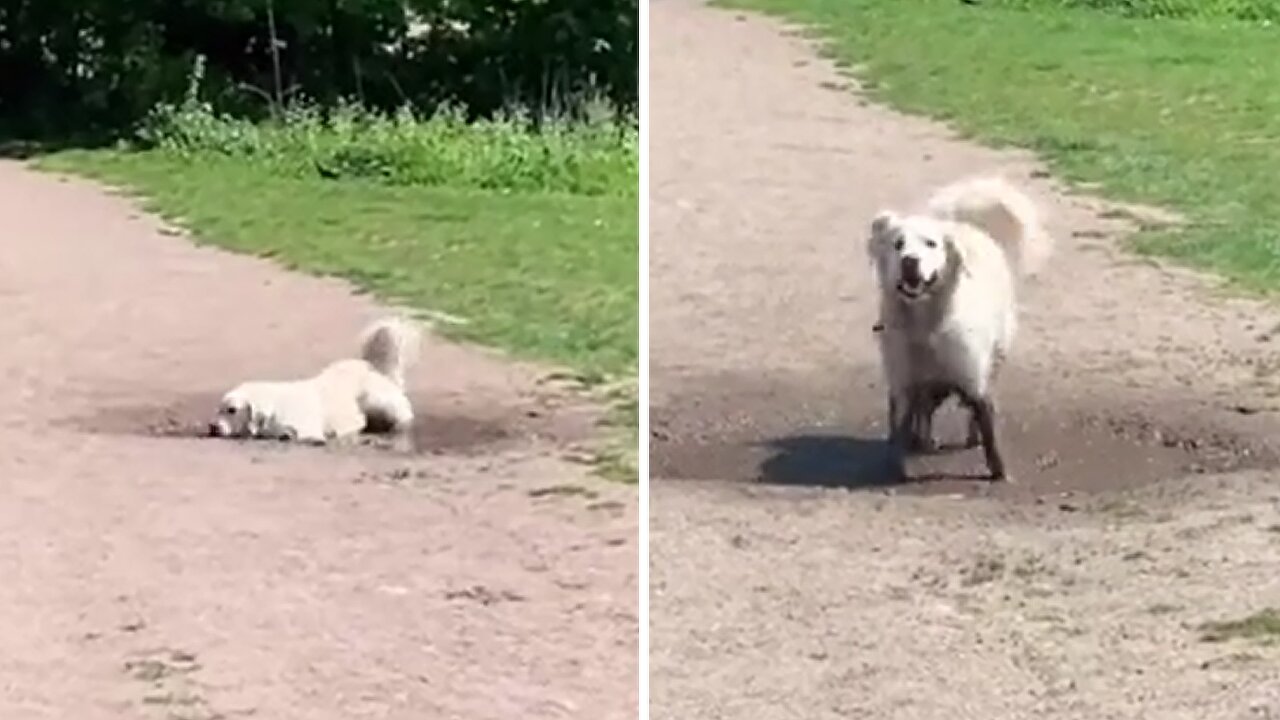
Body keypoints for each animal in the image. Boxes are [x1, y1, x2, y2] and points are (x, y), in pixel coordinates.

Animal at [207, 315, 422, 443]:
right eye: (218, 409)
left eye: (232, 410)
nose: (212, 426)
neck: (275, 407)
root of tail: (374, 367)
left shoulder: (306, 428)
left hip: (379, 403)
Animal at [865, 174, 1054, 479]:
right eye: (898, 244)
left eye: (931, 244)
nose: (910, 261)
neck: (926, 326)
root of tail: (970, 225)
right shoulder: (904, 381)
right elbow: (900, 428)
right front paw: (899, 463)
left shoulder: (973, 378)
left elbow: (987, 427)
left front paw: (999, 472)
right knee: (924, 410)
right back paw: (923, 439)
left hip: (993, 358)